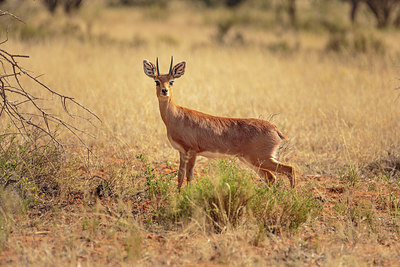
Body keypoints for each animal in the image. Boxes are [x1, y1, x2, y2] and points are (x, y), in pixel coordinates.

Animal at [142, 57, 296, 191]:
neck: (176, 116)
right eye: (157, 81)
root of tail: (275, 129)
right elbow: (180, 176)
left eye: (171, 81)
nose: (164, 91)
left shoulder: (192, 151)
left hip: (260, 159)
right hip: (251, 160)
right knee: (271, 178)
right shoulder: (181, 151)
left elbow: (189, 176)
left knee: (290, 169)